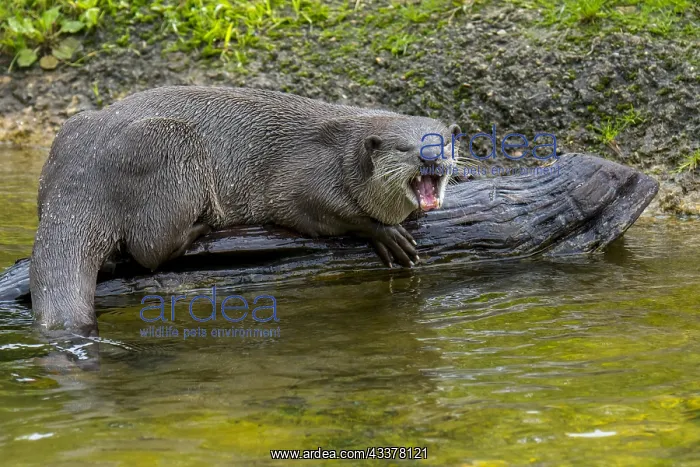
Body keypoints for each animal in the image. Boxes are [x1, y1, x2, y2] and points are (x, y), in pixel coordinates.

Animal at [30, 86, 461, 335]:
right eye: (404, 148)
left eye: (439, 141)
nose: (429, 156)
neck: (344, 152)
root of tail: (82, 172)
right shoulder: (301, 178)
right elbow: (322, 211)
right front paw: (384, 233)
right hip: (168, 143)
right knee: (148, 250)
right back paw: (200, 229)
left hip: (70, 131)